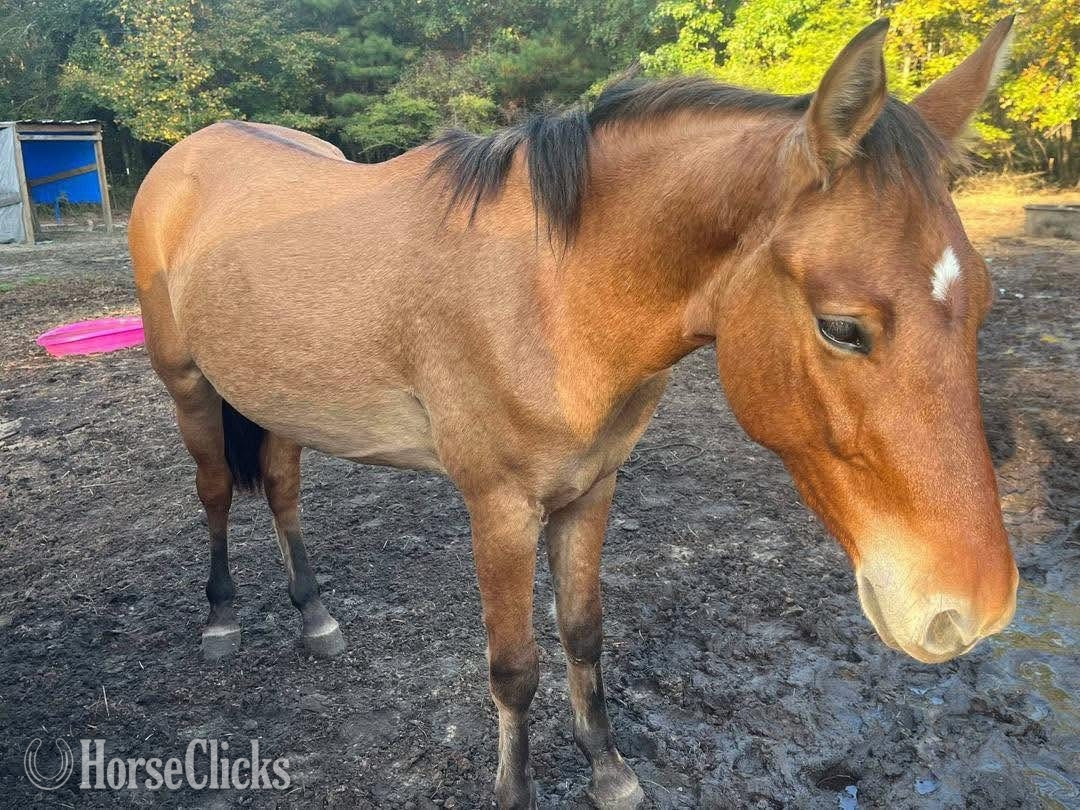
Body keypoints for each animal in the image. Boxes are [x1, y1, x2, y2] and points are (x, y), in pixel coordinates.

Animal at [129, 17, 1019, 808]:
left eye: (982, 300)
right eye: (842, 327)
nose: (970, 611)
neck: (553, 293)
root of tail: (190, 151)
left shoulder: (592, 489)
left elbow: (584, 631)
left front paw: (608, 769)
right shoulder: (500, 510)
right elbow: (513, 665)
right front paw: (515, 791)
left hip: (275, 398)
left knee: (282, 489)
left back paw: (315, 616)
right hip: (189, 385)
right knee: (216, 490)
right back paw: (221, 620)